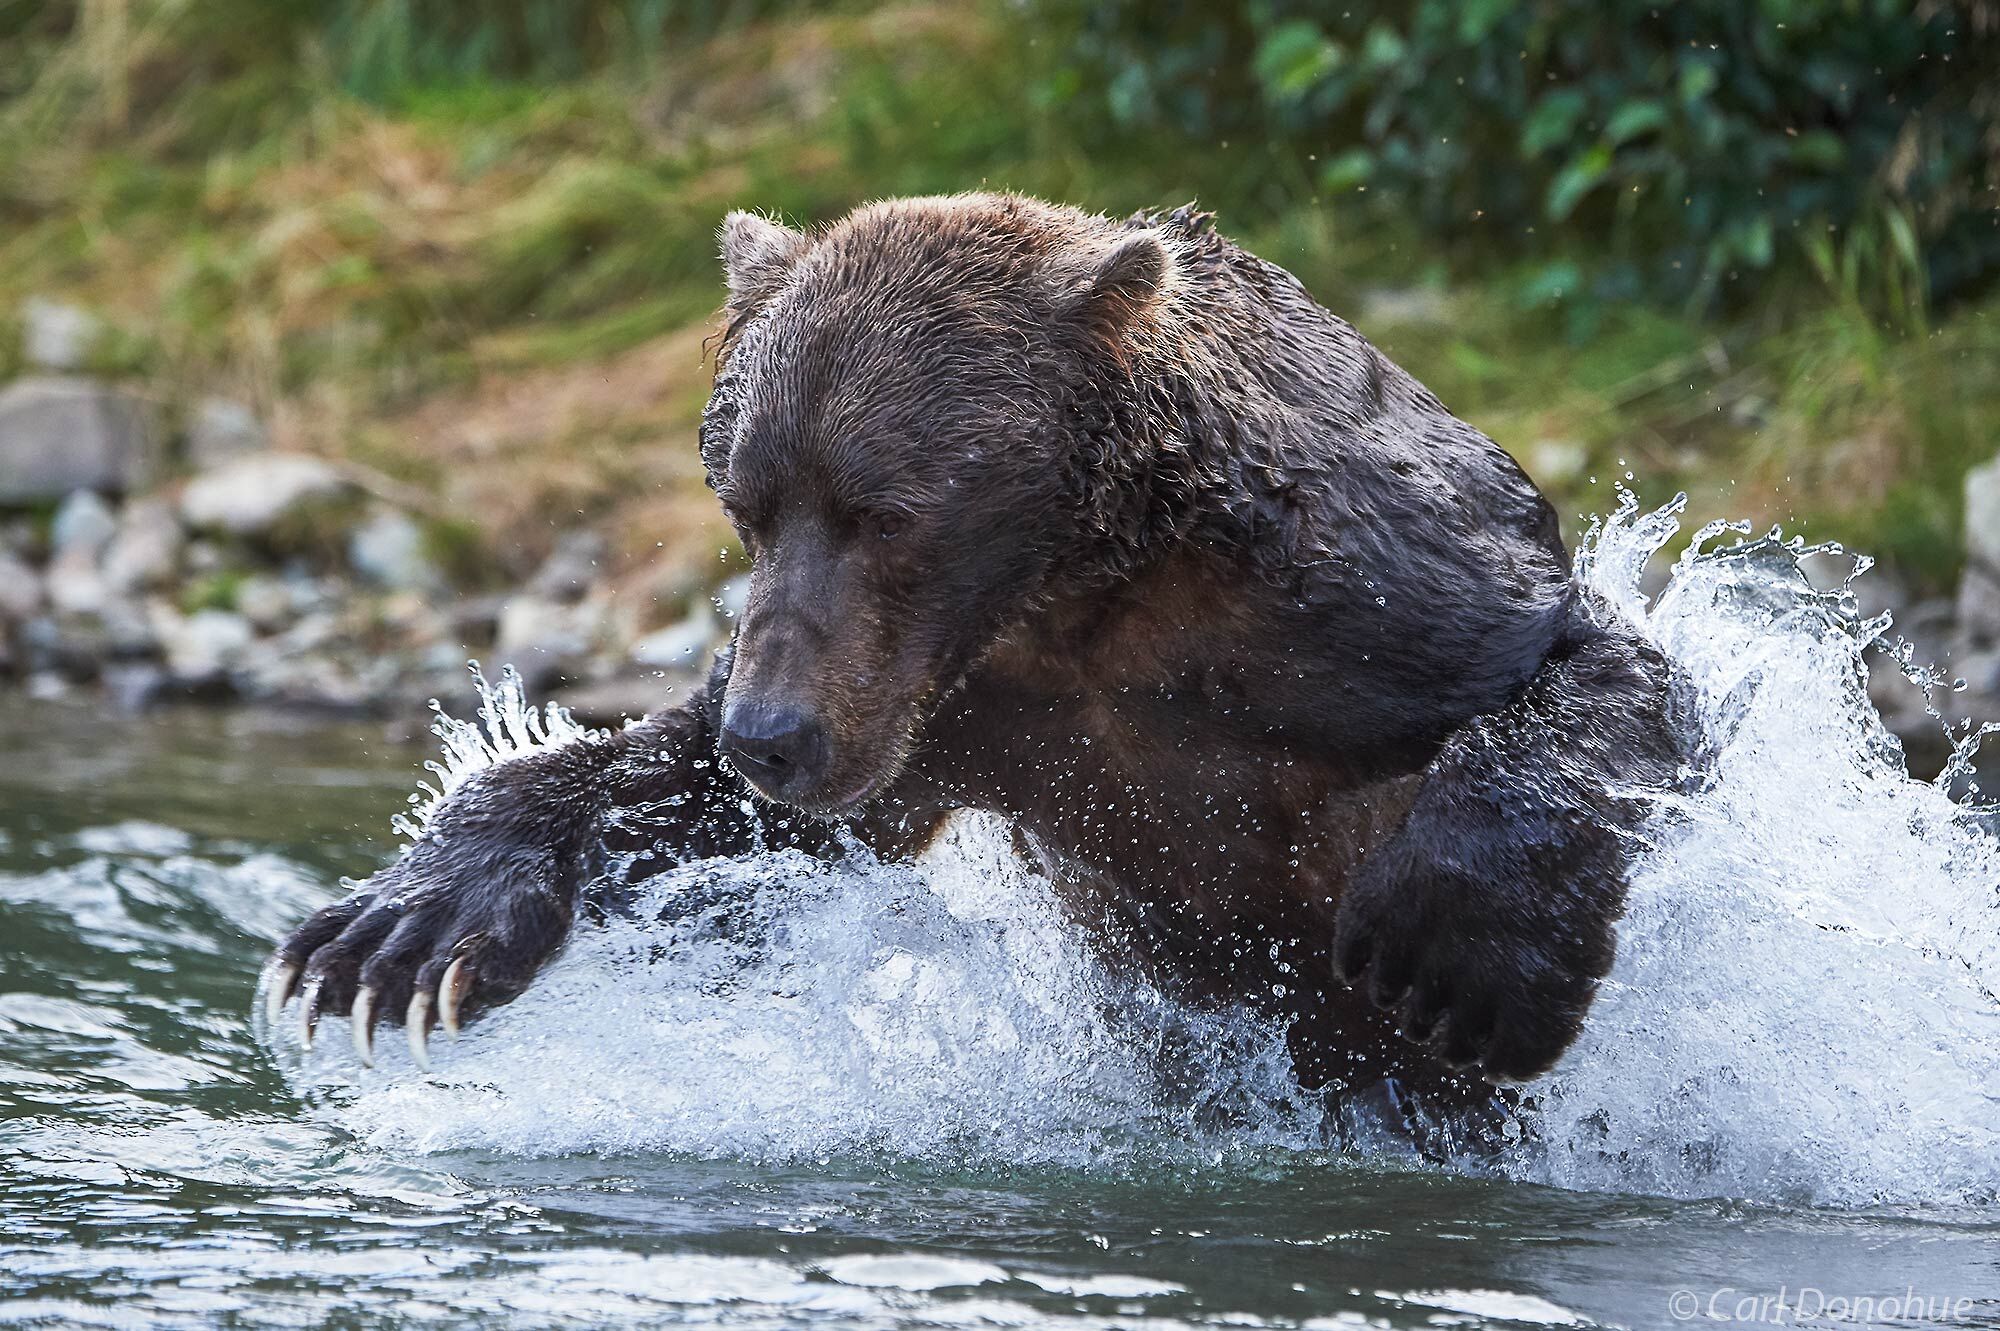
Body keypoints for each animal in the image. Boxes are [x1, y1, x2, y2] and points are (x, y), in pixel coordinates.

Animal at [262, 186, 1672, 1095]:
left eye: (884, 509)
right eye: (744, 500)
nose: (770, 733)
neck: (1076, 585)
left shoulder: (1361, 602)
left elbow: (1593, 671)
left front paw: (1456, 963)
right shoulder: (942, 703)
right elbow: (671, 787)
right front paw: (387, 936)